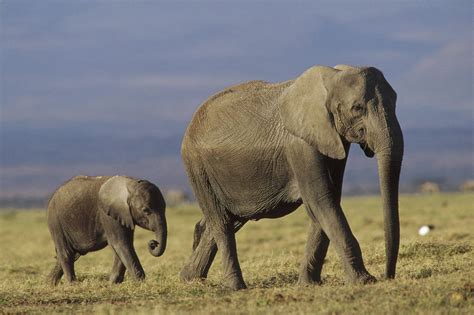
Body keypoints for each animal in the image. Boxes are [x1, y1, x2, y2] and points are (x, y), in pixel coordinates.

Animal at [180, 65, 402, 292]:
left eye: (395, 101)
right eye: (357, 108)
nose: (388, 276)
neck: (331, 78)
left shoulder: (331, 139)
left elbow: (328, 200)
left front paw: (308, 284)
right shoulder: (300, 144)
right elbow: (321, 199)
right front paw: (364, 281)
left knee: (230, 220)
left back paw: (190, 278)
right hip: (198, 167)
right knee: (222, 223)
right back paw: (235, 287)